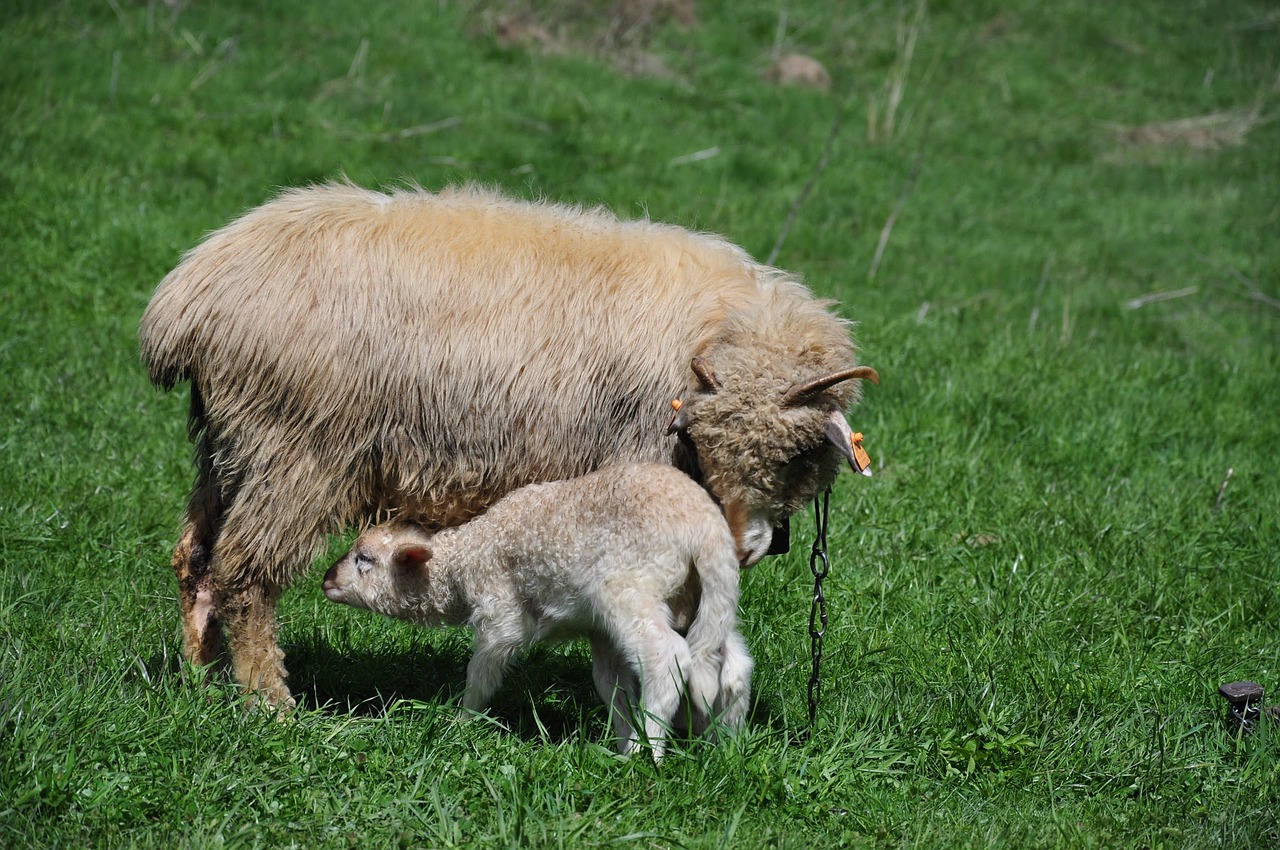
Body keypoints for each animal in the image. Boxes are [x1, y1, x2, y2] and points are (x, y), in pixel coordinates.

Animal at [140, 183, 880, 706]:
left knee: (194, 556)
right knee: (244, 572)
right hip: (297, 449)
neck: (713, 329)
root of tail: (188, 298)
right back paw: (271, 702)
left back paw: (203, 677)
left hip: (231, 442)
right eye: (698, 437)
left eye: (796, 453)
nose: (747, 544)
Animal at [320, 465, 752, 757]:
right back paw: (724, 744)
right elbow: (611, 686)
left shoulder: (500, 612)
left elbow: (482, 670)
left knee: (666, 657)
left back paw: (648, 751)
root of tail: (705, 527)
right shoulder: (599, 632)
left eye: (364, 560)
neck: (463, 559)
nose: (325, 580)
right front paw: (620, 738)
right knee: (731, 665)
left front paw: (462, 721)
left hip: (630, 586)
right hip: (705, 598)